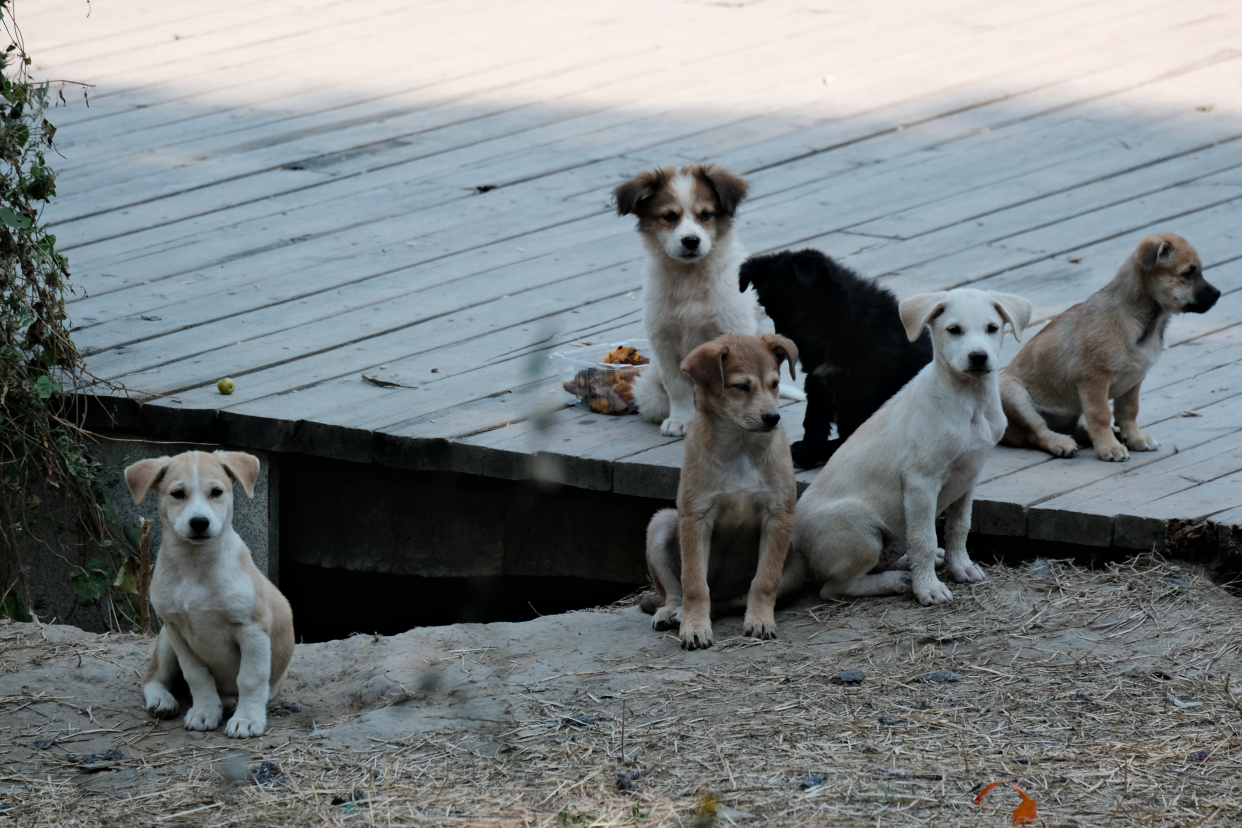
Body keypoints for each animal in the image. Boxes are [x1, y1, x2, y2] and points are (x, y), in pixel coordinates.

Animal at [124, 449, 295, 739]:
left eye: (216, 492)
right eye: (177, 493)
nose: (199, 522)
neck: (195, 566)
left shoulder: (253, 629)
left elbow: (250, 679)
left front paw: (247, 719)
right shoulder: (177, 632)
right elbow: (197, 676)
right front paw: (205, 711)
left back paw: (229, 703)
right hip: (165, 643)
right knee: (152, 678)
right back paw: (163, 700)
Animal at [640, 332, 804, 650]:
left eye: (775, 384)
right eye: (741, 387)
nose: (773, 418)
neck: (740, 447)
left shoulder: (778, 516)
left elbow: (764, 581)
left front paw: (761, 621)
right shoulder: (696, 517)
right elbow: (694, 583)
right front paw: (694, 628)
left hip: (795, 561)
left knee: (730, 601)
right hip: (661, 522)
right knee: (675, 592)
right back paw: (673, 612)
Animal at [735, 245, 933, 469]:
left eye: (797, 314)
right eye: (771, 315)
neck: (836, 330)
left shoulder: (870, 385)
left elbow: (861, 423)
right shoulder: (818, 380)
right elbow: (814, 421)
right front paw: (806, 454)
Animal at [789, 288, 1033, 605]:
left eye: (992, 328)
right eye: (954, 330)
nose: (978, 357)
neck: (970, 401)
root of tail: (798, 546)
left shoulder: (969, 478)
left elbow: (959, 527)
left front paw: (960, 567)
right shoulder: (921, 483)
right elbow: (925, 538)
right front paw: (928, 588)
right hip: (860, 529)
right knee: (834, 588)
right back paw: (896, 581)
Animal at [998, 233, 1222, 464]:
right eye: (1188, 273)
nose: (1218, 294)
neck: (1146, 322)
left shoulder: (1134, 380)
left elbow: (1129, 412)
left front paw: (1135, 439)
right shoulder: (1094, 380)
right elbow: (1101, 415)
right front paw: (1109, 448)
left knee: (1075, 428)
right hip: (1011, 391)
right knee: (1037, 432)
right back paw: (1061, 442)